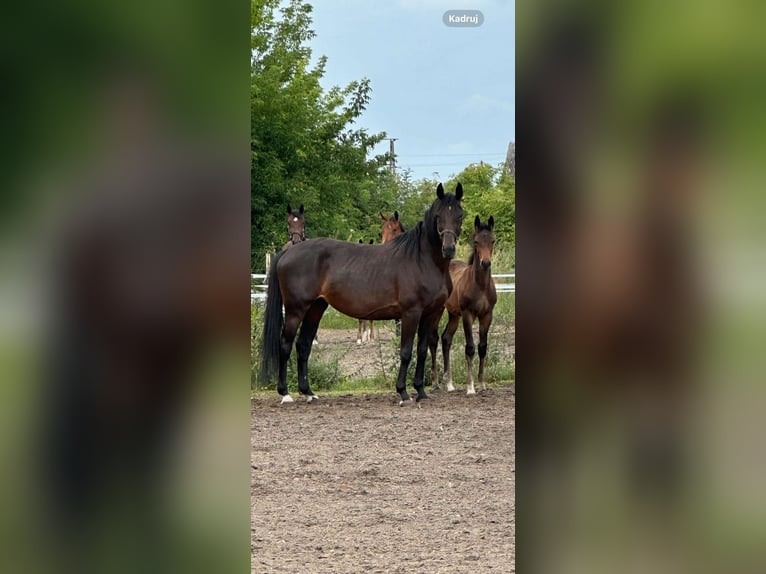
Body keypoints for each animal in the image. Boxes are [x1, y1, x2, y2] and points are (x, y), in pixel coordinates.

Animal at [432, 216, 498, 396]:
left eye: (492, 240)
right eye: (476, 241)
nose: (485, 263)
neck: (480, 286)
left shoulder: (487, 315)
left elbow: (482, 347)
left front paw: (482, 384)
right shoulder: (468, 314)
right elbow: (470, 347)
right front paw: (470, 387)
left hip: (454, 314)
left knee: (446, 338)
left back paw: (449, 384)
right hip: (438, 310)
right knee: (433, 339)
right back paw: (435, 383)